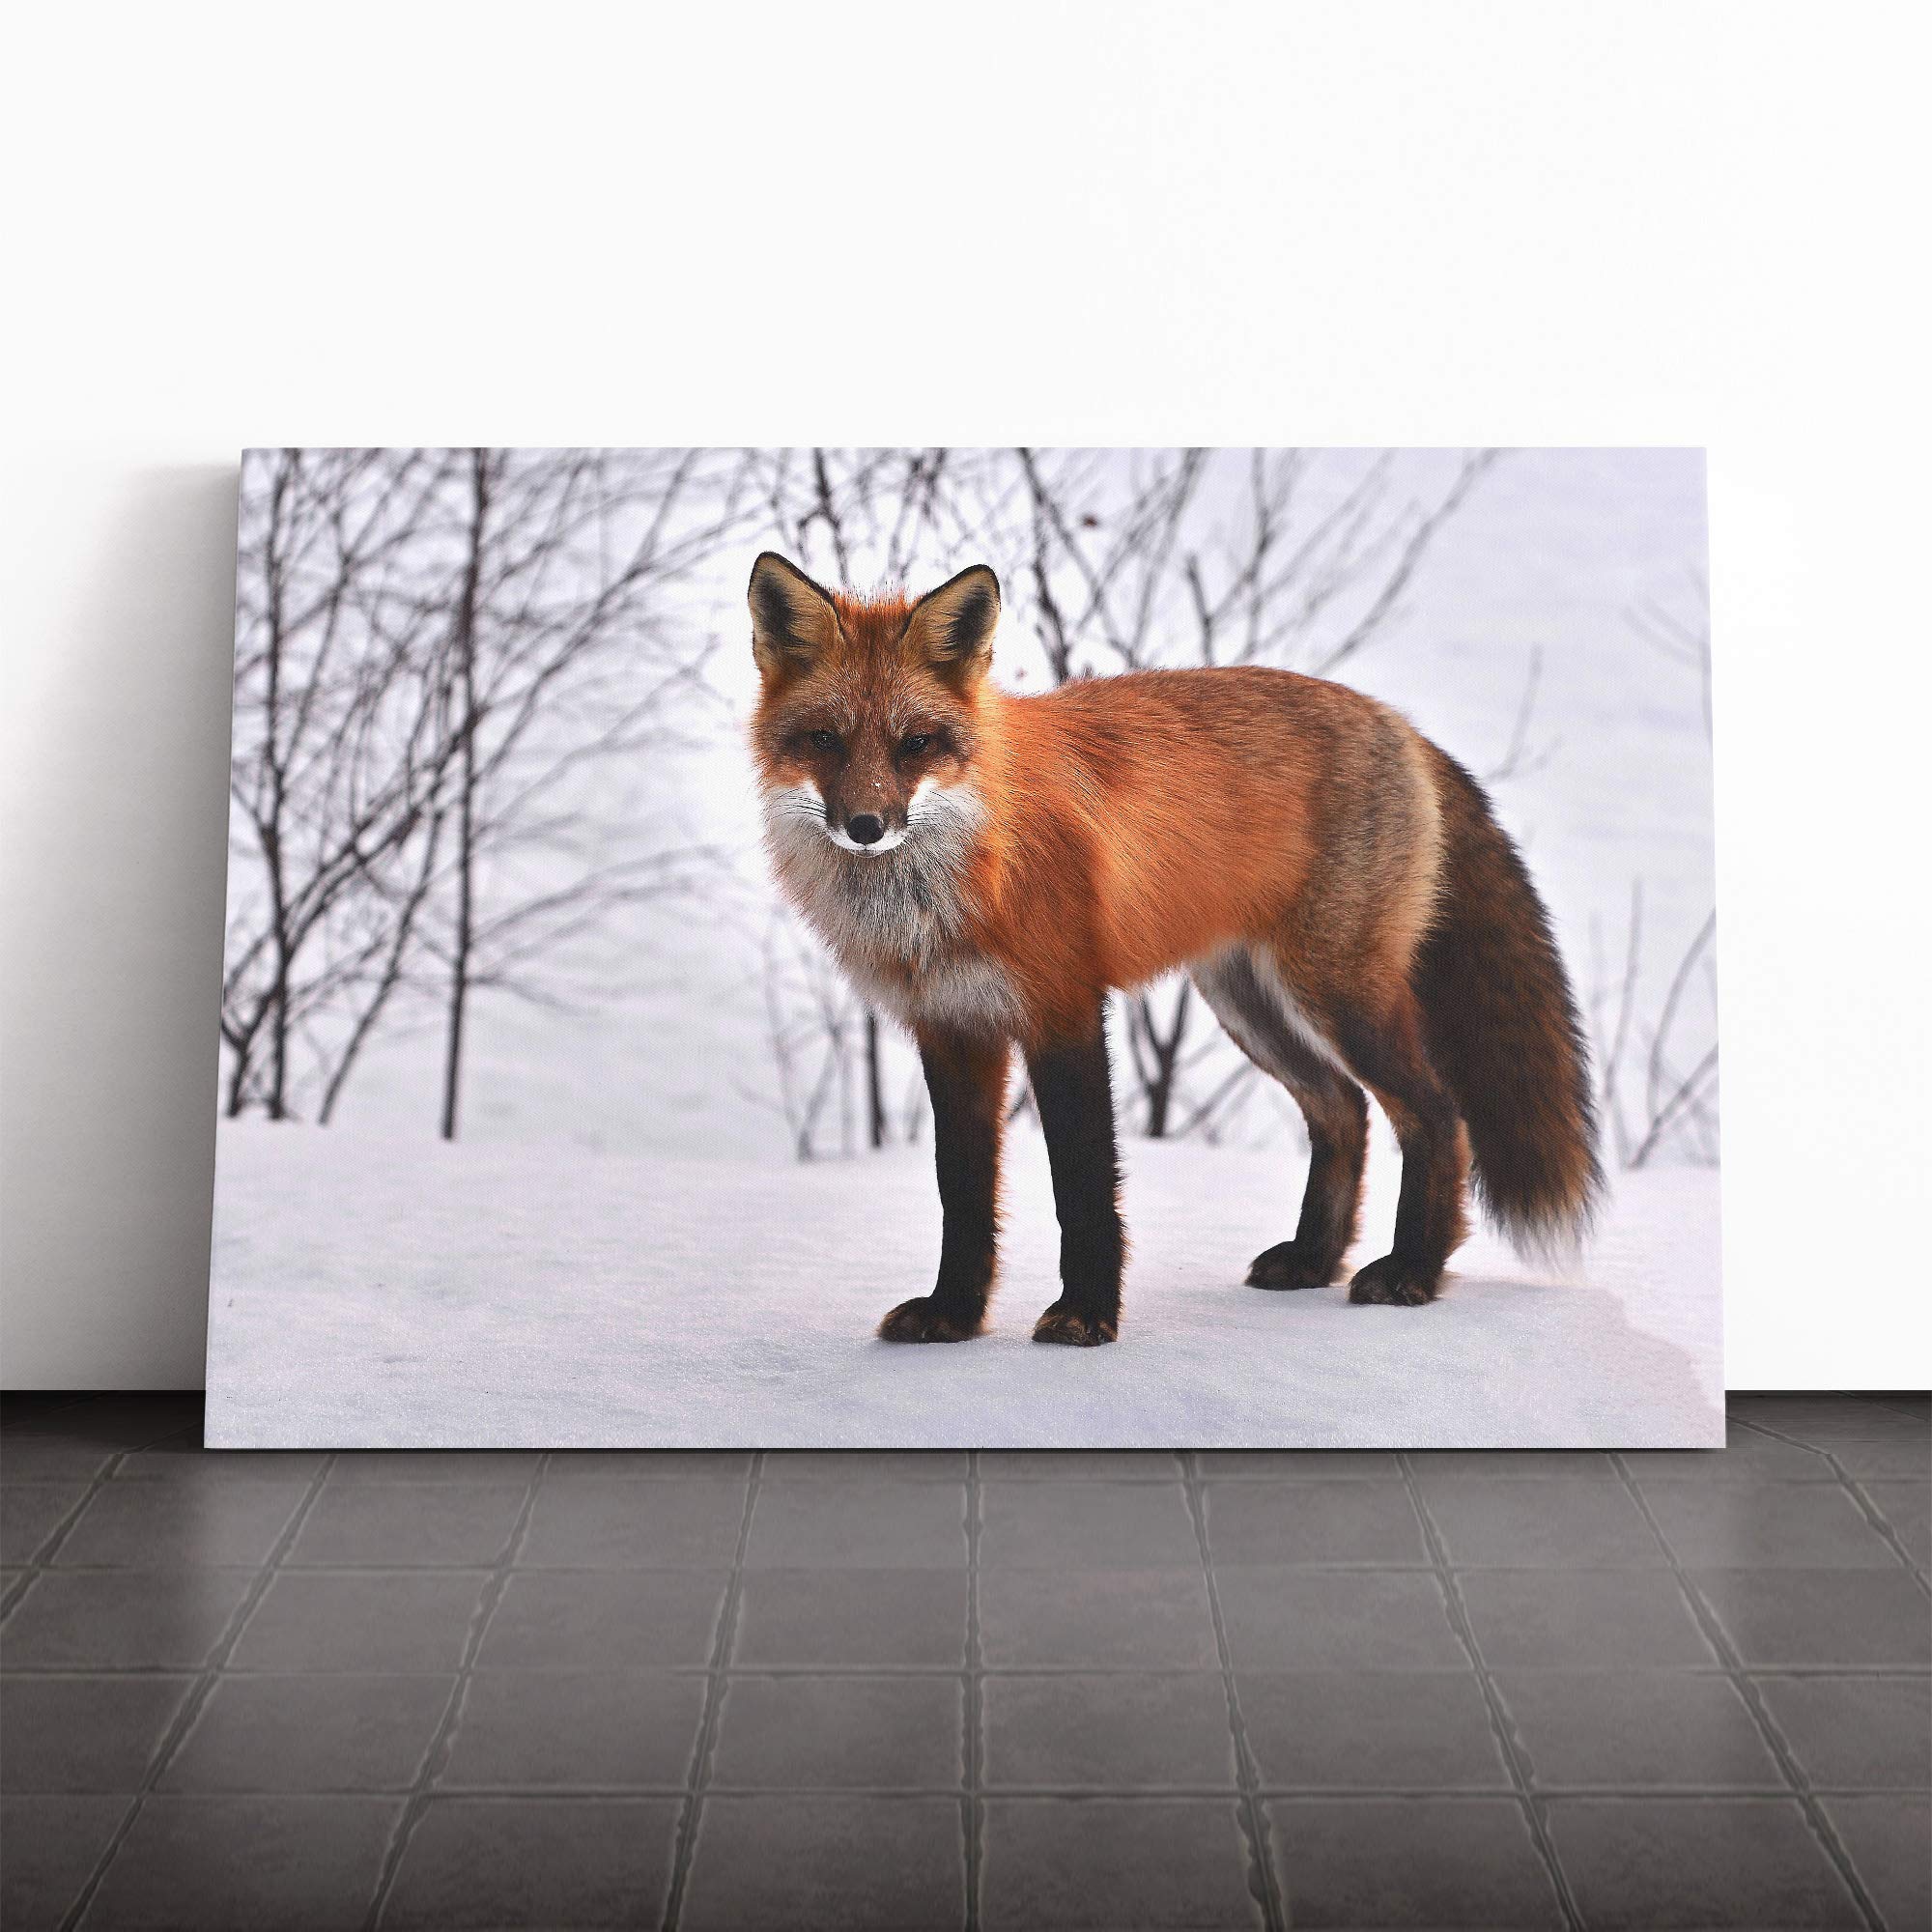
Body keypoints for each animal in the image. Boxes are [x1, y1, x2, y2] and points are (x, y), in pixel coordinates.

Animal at [748, 550, 1601, 1346]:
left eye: (916, 744)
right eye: (824, 740)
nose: (865, 826)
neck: (952, 881)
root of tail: (1396, 721)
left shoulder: (1064, 1010)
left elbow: (1084, 1186)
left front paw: (1087, 1316)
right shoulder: (952, 1029)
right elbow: (961, 1194)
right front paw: (954, 1315)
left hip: (1336, 994)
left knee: (1436, 1114)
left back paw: (1413, 1271)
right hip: (1248, 1003)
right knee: (1344, 1110)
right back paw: (1314, 1259)